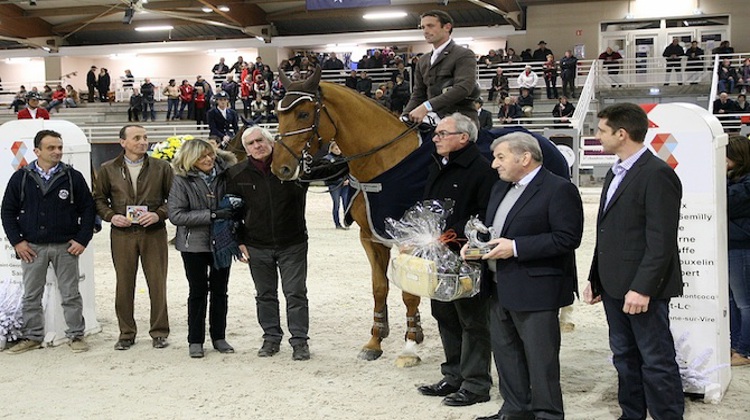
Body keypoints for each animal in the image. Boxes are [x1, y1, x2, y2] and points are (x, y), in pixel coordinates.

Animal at [270, 67, 426, 366]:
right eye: (277, 114)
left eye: (303, 114)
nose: (279, 167)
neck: (385, 161)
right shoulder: (370, 237)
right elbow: (379, 287)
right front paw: (375, 341)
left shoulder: (411, 240)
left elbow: (409, 293)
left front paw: (411, 344)